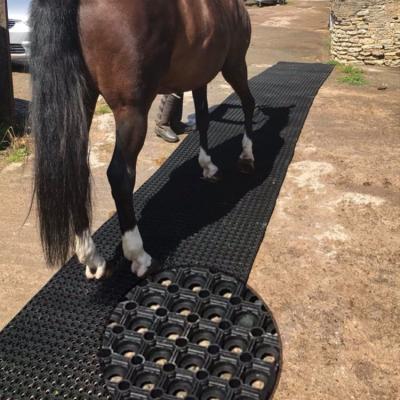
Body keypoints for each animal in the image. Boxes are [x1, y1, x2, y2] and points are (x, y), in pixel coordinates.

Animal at [31, 0, 256, 280]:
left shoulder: (199, 77)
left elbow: (204, 119)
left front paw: (208, 166)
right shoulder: (235, 63)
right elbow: (248, 104)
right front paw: (247, 156)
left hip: (82, 100)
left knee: (76, 170)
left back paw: (92, 259)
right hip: (133, 109)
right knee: (120, 175)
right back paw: (140, 256)